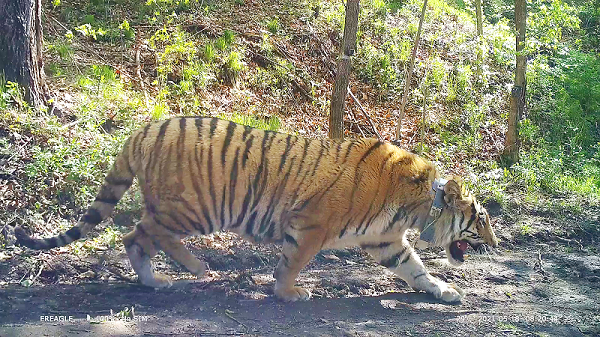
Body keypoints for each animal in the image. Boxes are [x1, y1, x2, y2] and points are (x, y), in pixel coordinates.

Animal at [16, 115, 500, 302]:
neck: (418, 206)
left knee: (137, 235)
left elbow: (416, 269)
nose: (496, 243)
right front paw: (288, 293)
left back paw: (156, 280)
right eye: (480, 219)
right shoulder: (311, 226)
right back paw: (193, 268)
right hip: (194, 208)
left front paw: (444, 291)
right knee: (138, 232)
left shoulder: (386, 242)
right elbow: (294, 262)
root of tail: (143, 130)